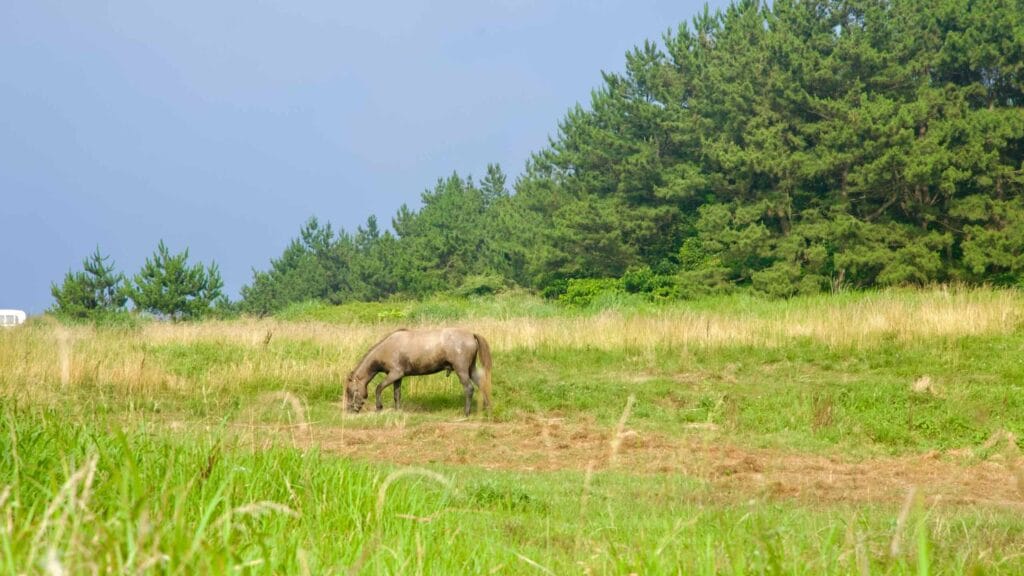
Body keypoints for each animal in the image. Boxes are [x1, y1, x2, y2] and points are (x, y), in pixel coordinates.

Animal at [344, 328, 492, 416]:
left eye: (351, 391)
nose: (351, 409)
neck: (387, 348)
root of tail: (471, 335)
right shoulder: (398, 377)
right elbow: (397, 394)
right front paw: (398, 410)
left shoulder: (394, 374)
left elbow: (379, 388)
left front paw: (379, 407)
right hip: (470, 369)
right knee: (481, 384)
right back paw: (487, 407)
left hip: (461, 370)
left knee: (469, 389)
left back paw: (466, 412)